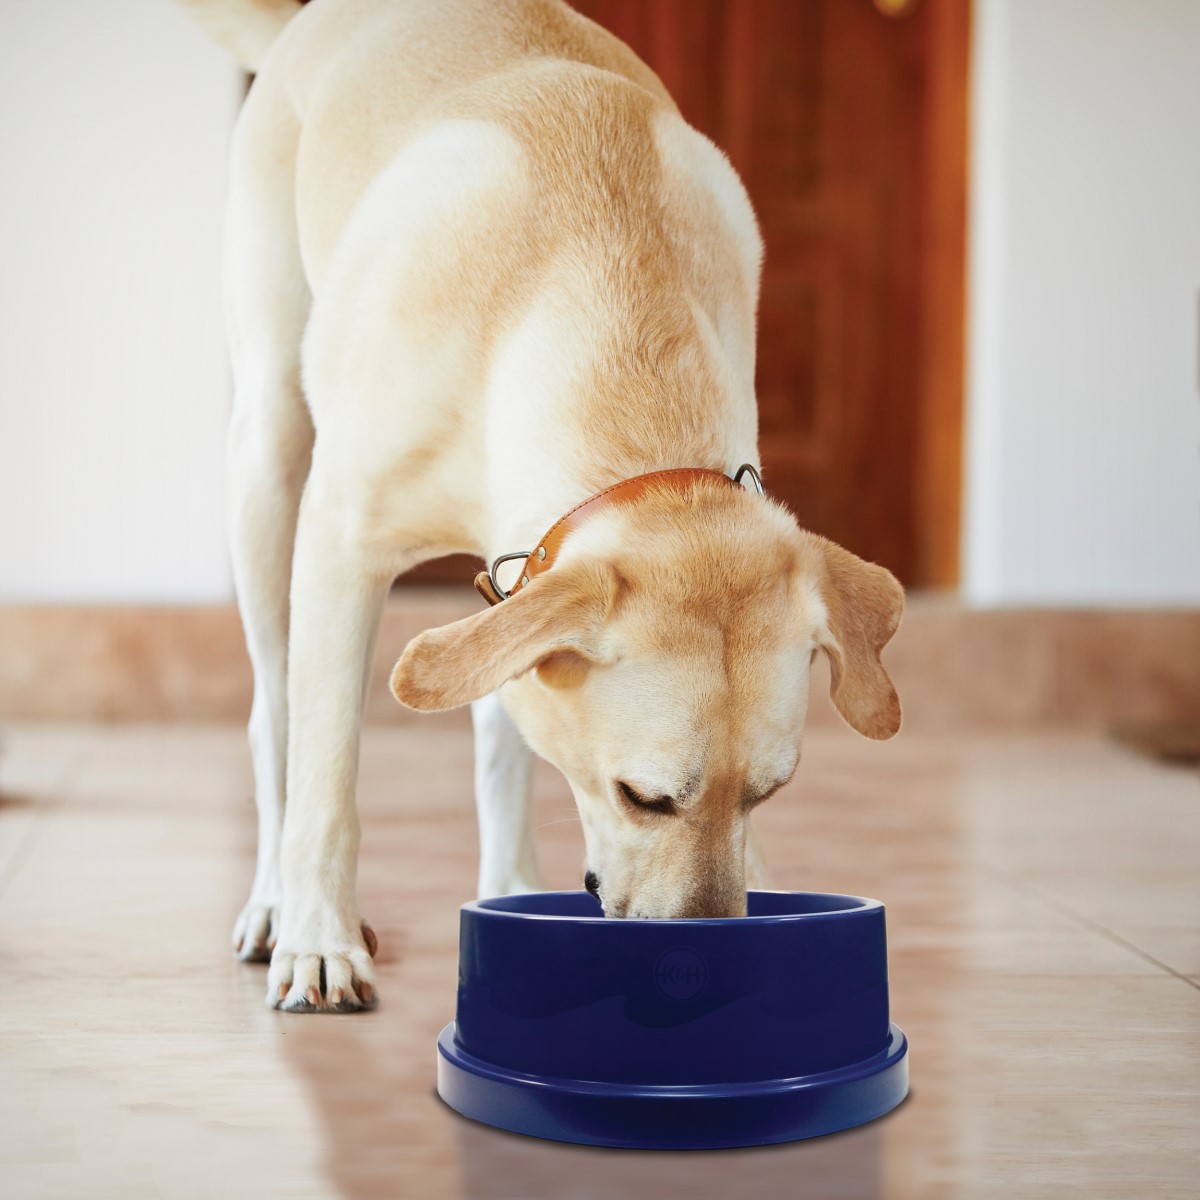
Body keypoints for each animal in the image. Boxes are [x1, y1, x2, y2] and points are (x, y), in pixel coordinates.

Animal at [184, 0, 902, 1012]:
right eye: (645, 797)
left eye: (766, 793)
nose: (708, 980)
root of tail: (310, 21)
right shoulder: (339, 546)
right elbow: (327, 775)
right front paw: (321, 940)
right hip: (267, 455)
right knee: (276, 716)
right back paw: (273, 906)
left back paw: (511, 885)